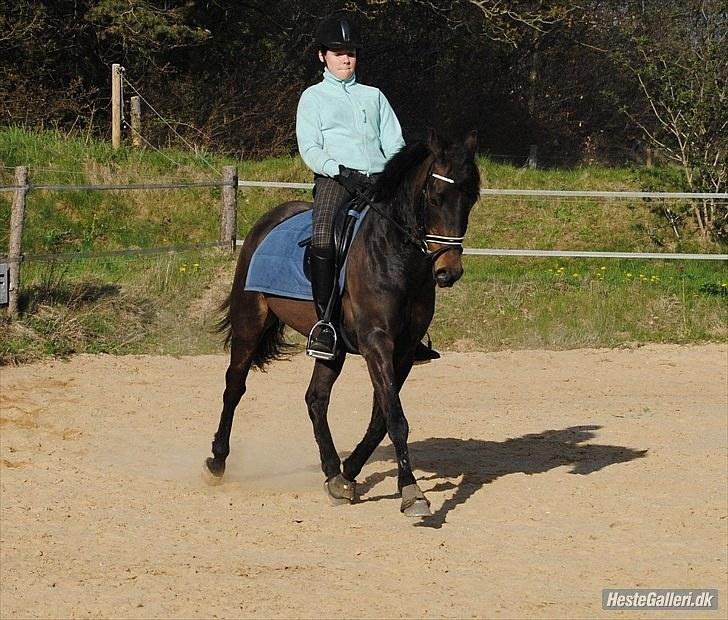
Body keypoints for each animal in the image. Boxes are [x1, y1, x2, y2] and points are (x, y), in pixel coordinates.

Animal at [202, 128, 480, 516]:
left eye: (470, 199)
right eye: (436, 197)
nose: (448, 271)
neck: (396, 256)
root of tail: (267, 221)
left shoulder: (404, 351)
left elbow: (382, 418)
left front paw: (348, 474)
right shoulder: (376, 342)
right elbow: (396, 419)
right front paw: (412, 492)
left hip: (330, 347)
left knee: (316, 400)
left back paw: (333, 472)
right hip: (249, 323)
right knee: (234, 387)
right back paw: (217, 461)